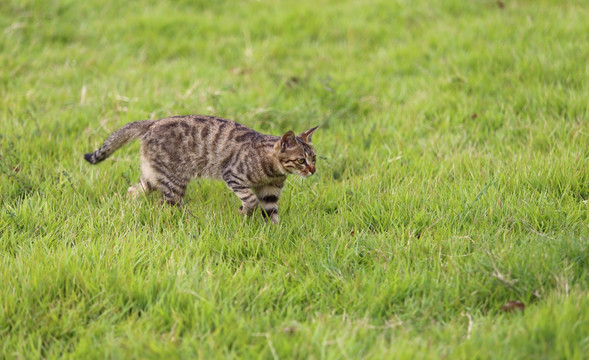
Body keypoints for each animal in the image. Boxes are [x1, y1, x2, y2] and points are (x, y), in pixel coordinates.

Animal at [84, 115, 316, 222]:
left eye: (314, 158)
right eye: (301, 160)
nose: (313, 170)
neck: (273, 171)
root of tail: (153, 122)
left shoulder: (270, 193)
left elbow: (272, 214)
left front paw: (275, 235)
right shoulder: (232, 174)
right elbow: (250, 200)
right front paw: (243, 212)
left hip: (153, 176)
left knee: (133, 191)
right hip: (174, 183)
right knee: (166, 206)